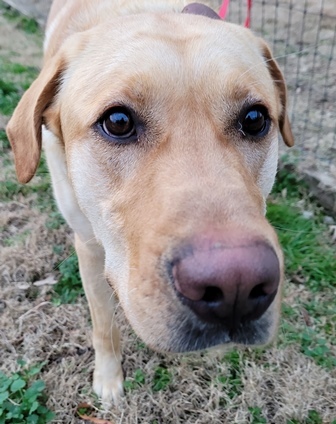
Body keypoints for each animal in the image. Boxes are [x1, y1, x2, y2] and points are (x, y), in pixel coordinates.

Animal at [6, 0, 292, 404]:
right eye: (118, 122)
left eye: (254, 119)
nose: (236, 287)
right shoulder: (89, 246)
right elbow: (104, 324)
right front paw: (108, 378)